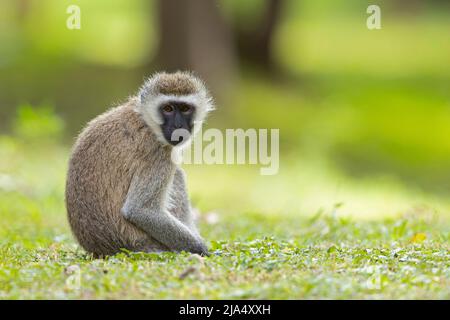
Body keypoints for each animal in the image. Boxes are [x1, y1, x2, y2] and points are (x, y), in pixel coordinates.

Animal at [65, 71, 214, 256]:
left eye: (185, 109)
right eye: (168, 109)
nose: (178, 125)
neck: (146, 120)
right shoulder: (157, 152)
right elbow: (139, 210)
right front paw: (201, 249)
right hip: (145, 242)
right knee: (177, 175)